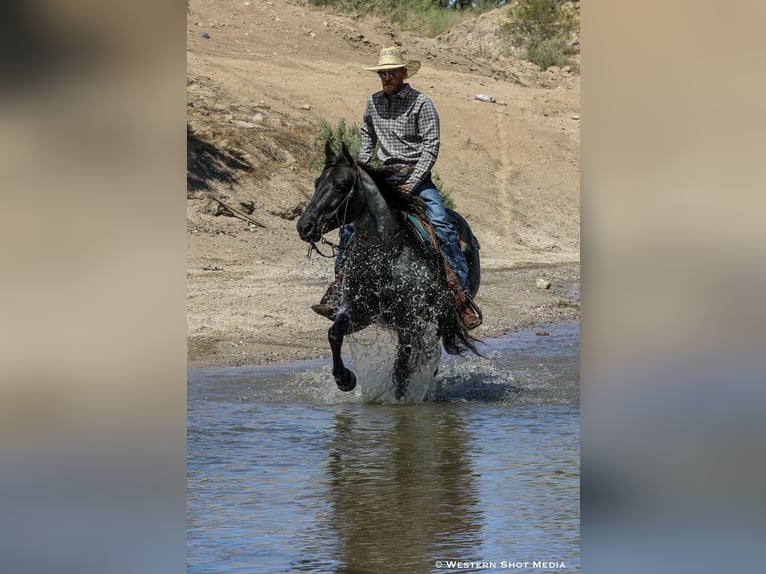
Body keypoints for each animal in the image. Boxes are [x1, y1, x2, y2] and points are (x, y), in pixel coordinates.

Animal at [297, 142, 481, 400]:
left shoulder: (411, 322)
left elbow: (403, 367)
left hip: (437, 321)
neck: (384, 258)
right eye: (316, 183)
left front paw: (400, 401)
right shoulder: (360, 313)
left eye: (340, 186)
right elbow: (334, 333)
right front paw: (345, 379)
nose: (304, 226)